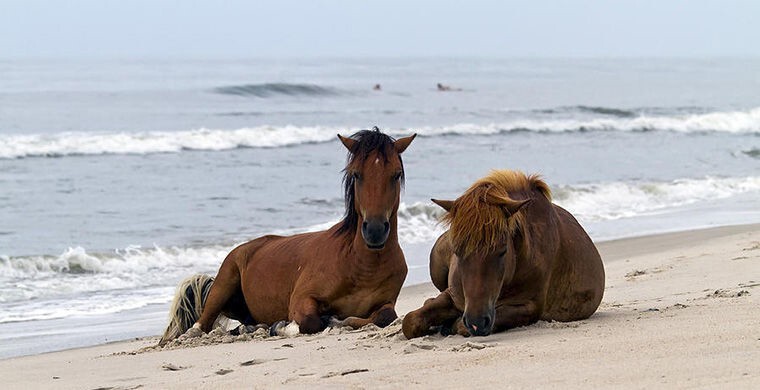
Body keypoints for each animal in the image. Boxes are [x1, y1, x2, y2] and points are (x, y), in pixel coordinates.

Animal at [160, 127, 416, 344]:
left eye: (396, 174)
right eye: (356, 175)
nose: (374, 231)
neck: (360, 266)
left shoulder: (386, 303)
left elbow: (384, 317)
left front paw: (334, 320)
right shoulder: (301, 299)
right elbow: (310, 321)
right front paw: (284, 326)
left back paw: (251, 328)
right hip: (223, 283)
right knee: (200, 326)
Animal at [404, 171, 604, 338]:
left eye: (502, 251)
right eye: (457, 251)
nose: (477, 322)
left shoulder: (530, 307)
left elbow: (461, 324)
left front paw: (450, 324)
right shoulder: (453, 295)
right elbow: (411, 321)